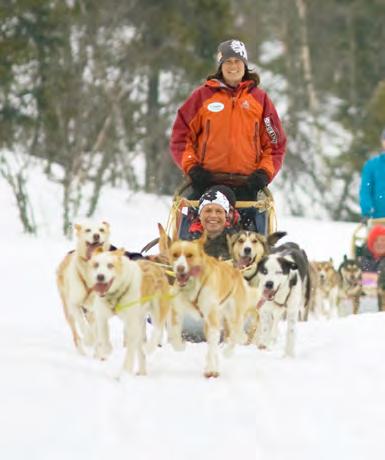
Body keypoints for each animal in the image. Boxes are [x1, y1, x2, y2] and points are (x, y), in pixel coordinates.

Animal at [55, 221, 110, 354]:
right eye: (88, 230)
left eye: (101, 230)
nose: (96, 235)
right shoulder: (74, 304)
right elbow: (81, 323)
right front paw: (88, 339)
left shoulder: (95, 309)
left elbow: (95, 329)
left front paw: (97, 347)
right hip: (67, 309)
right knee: (76, 332)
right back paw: (82, 350)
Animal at [169, 237, 256, 378]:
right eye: (175, 254)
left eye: (190, 255)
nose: (180, 268)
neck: (192, 285)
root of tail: (236, 271)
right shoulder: (177, 311)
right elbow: (175, 337)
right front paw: (181, 346)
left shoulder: (212, 320)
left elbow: (213, 347)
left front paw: (211, 369)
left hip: (233, 316)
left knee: (236, 334)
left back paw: (228, 352)